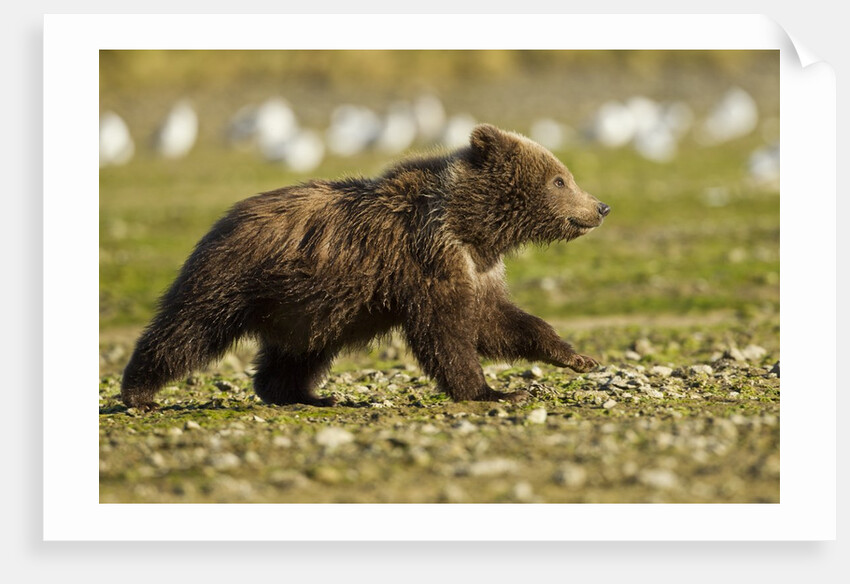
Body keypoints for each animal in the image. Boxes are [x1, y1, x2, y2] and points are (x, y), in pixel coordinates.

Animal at [120, 124, 610, 410]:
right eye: (560, 179)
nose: (600, 206)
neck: (470, 225)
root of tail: (224, 218)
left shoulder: (479, 266)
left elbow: (498, 320)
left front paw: (576, 357)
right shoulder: (427, 259)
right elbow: (447, 331)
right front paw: (492, 390)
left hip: (306, 307)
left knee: (297, 354)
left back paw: (308, 395)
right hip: (234, 278)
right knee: (188, 330)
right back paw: (138, 392)